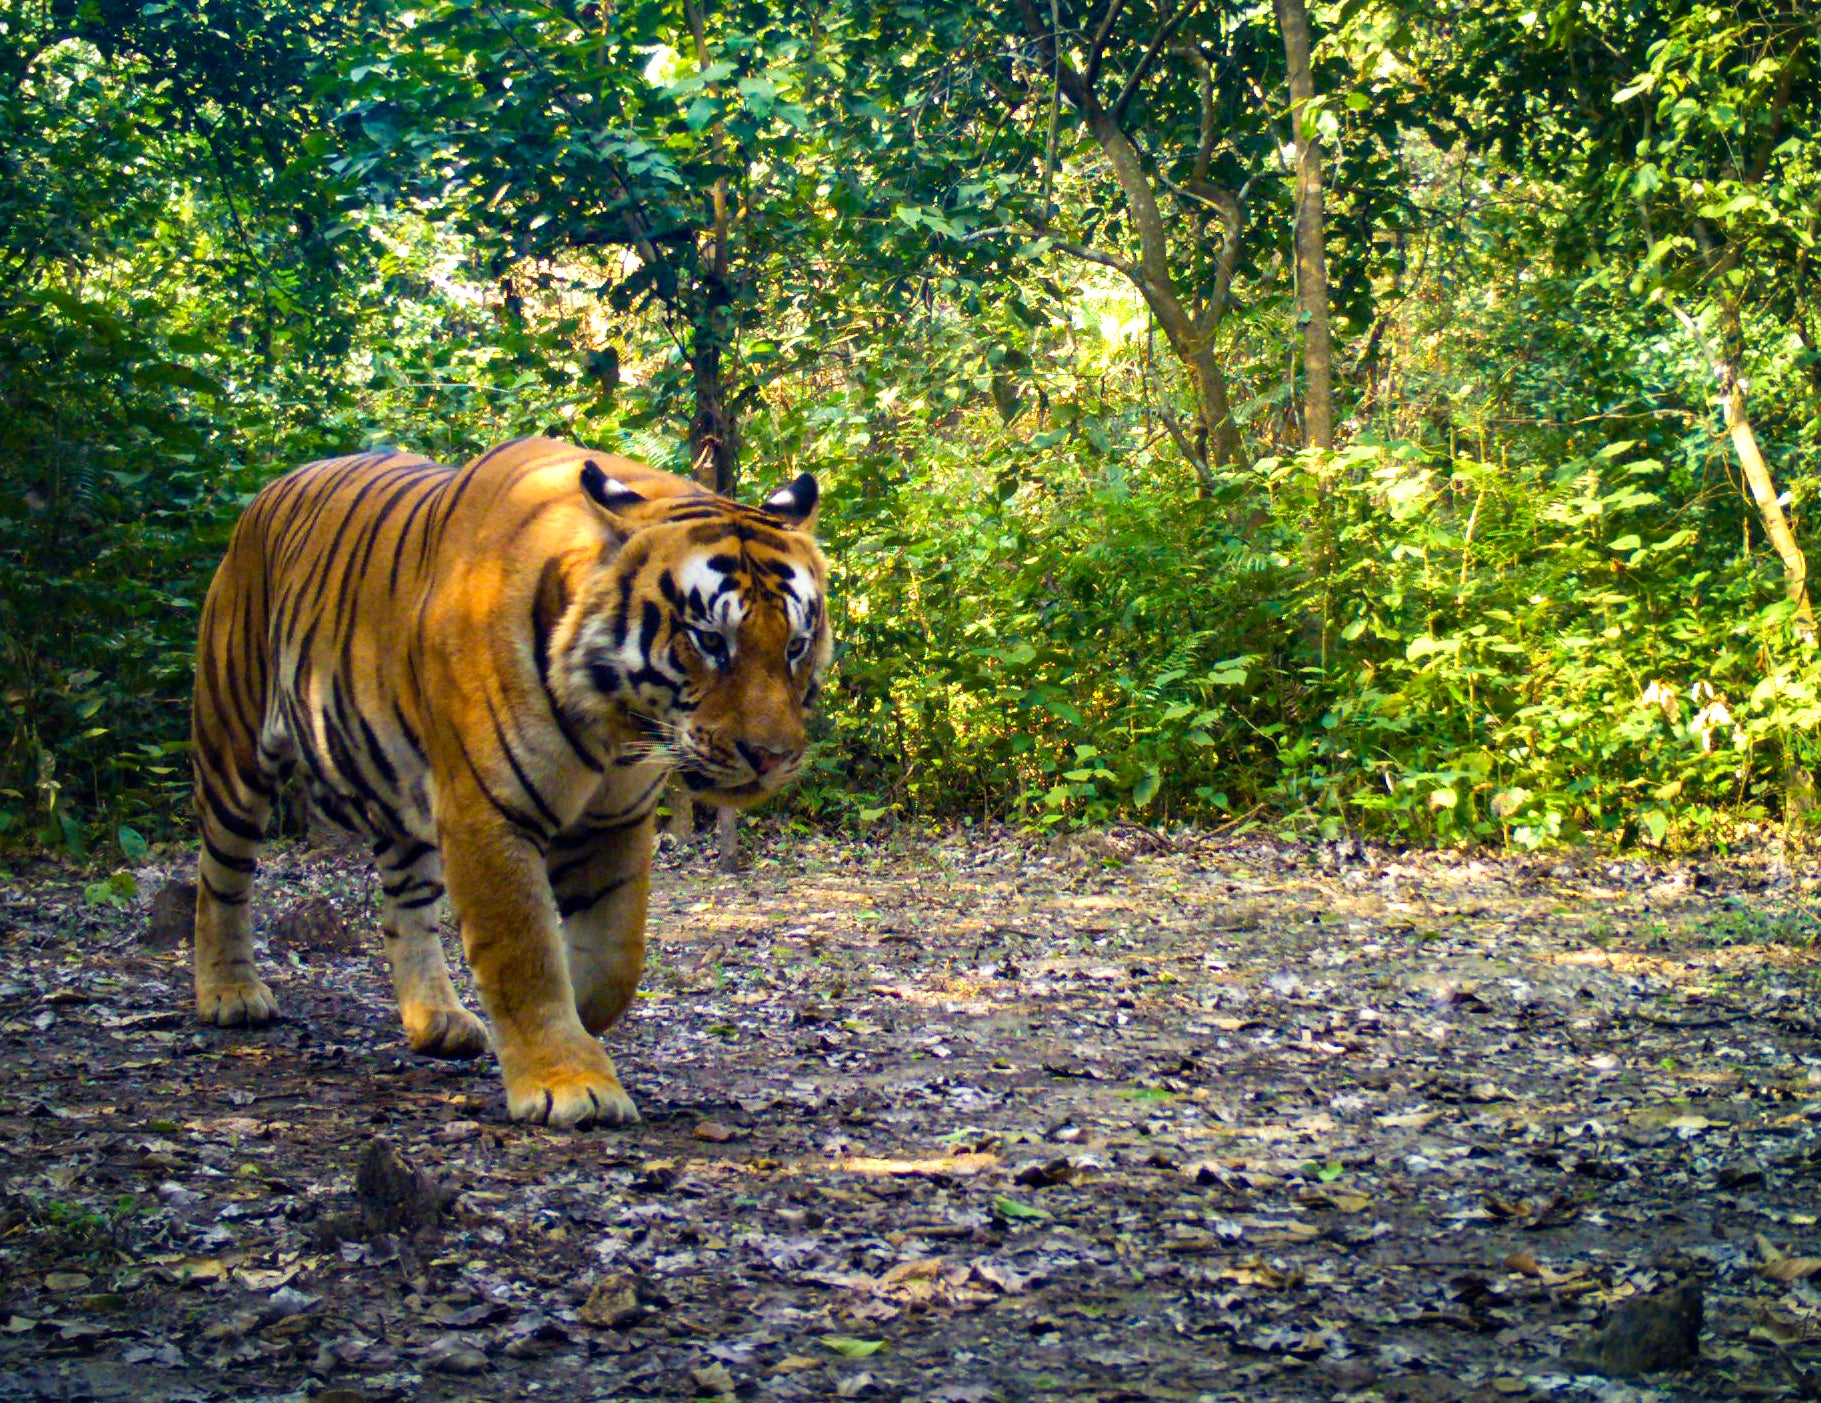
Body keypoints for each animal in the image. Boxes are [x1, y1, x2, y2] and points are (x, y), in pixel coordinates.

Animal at [188, 437, 830, 1122]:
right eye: (709, 640)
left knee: (406, 904)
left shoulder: (616, 819)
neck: (615, 720)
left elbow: (614, 958)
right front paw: (568, 1080)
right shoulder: (487, 809)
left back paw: (436, 1021)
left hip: (401, 799)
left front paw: (576, 1026)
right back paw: (230, 994)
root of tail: (267, 493)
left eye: (795, 645)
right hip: (234, 747)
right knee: (221, 875)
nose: (772, 756)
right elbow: (524, 950)